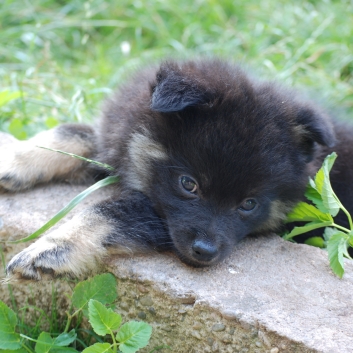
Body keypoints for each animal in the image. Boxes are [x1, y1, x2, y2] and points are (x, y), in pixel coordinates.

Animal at [2, 58, 350, 280]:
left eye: (249, 204)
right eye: (188, 184)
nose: (205, 251)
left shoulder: (162, 220)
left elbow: (116, 210)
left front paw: (53, 246)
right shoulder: (118, 137)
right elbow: (76, 132)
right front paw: (15, 158)